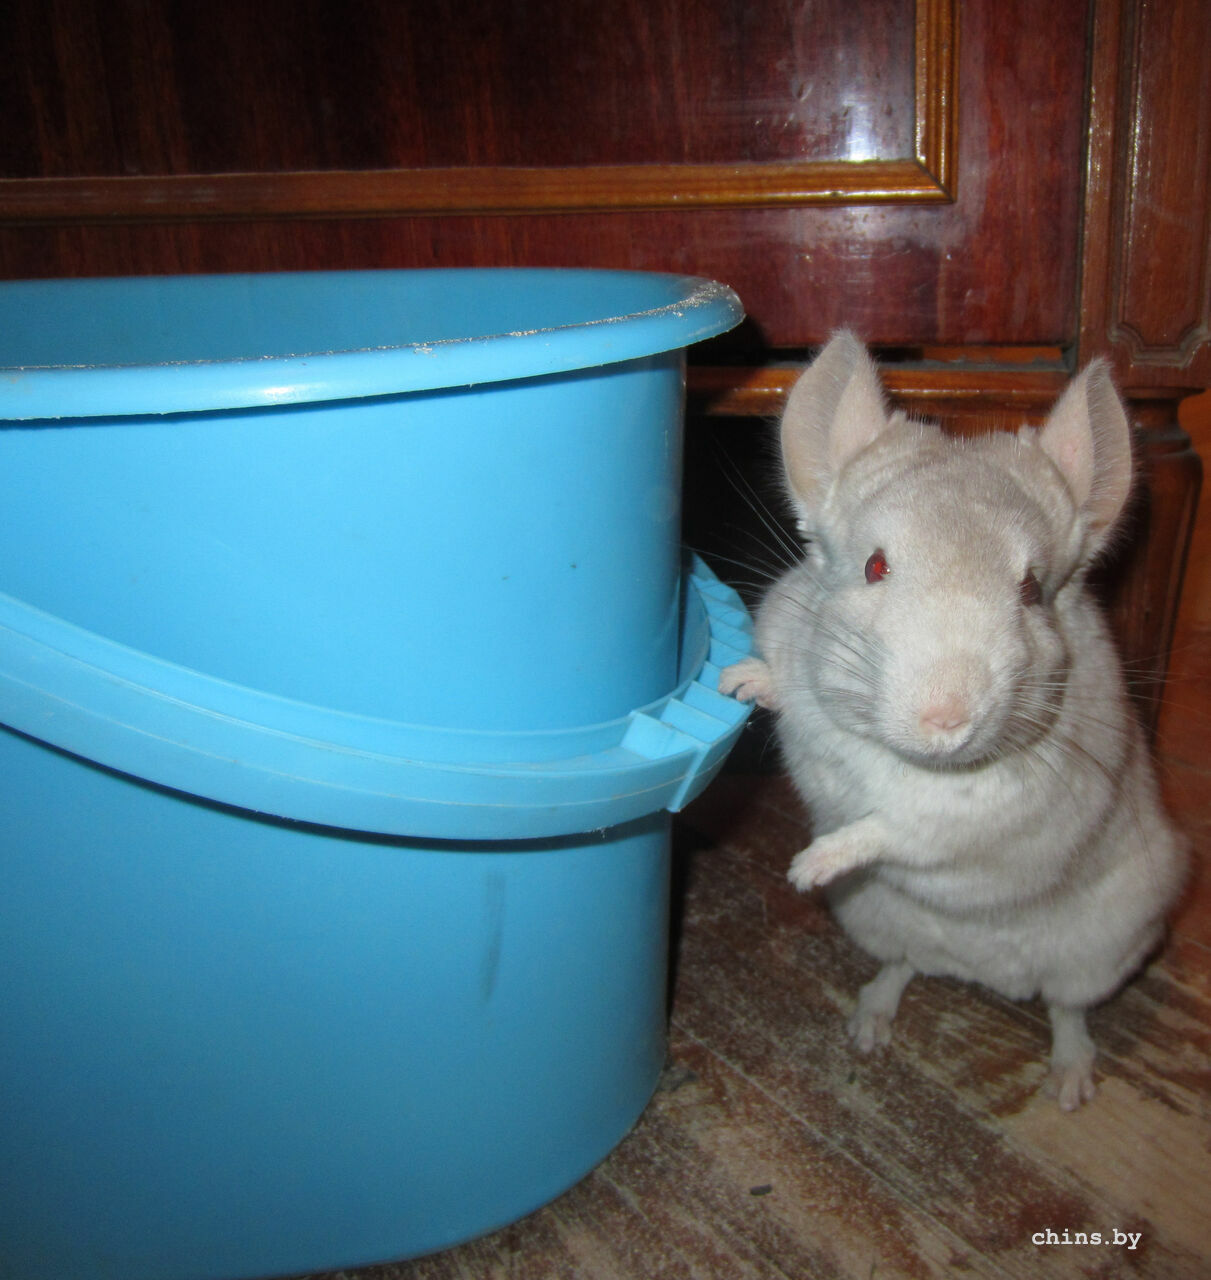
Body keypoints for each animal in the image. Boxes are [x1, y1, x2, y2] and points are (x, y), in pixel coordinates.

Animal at [719, 332, 1187, 1110]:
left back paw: (1069, 1083)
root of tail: (980, 971)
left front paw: (806, 868)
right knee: (904, 966)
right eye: (874, 566)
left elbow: (888, 827)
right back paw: (869, 1025)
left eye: (1032, 591)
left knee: (1066, 1009)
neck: (896, 753)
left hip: (1102, 953)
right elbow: (790, 684)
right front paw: (741, 682)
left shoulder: (974, 815)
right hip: (874, 920)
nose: (946, 719)